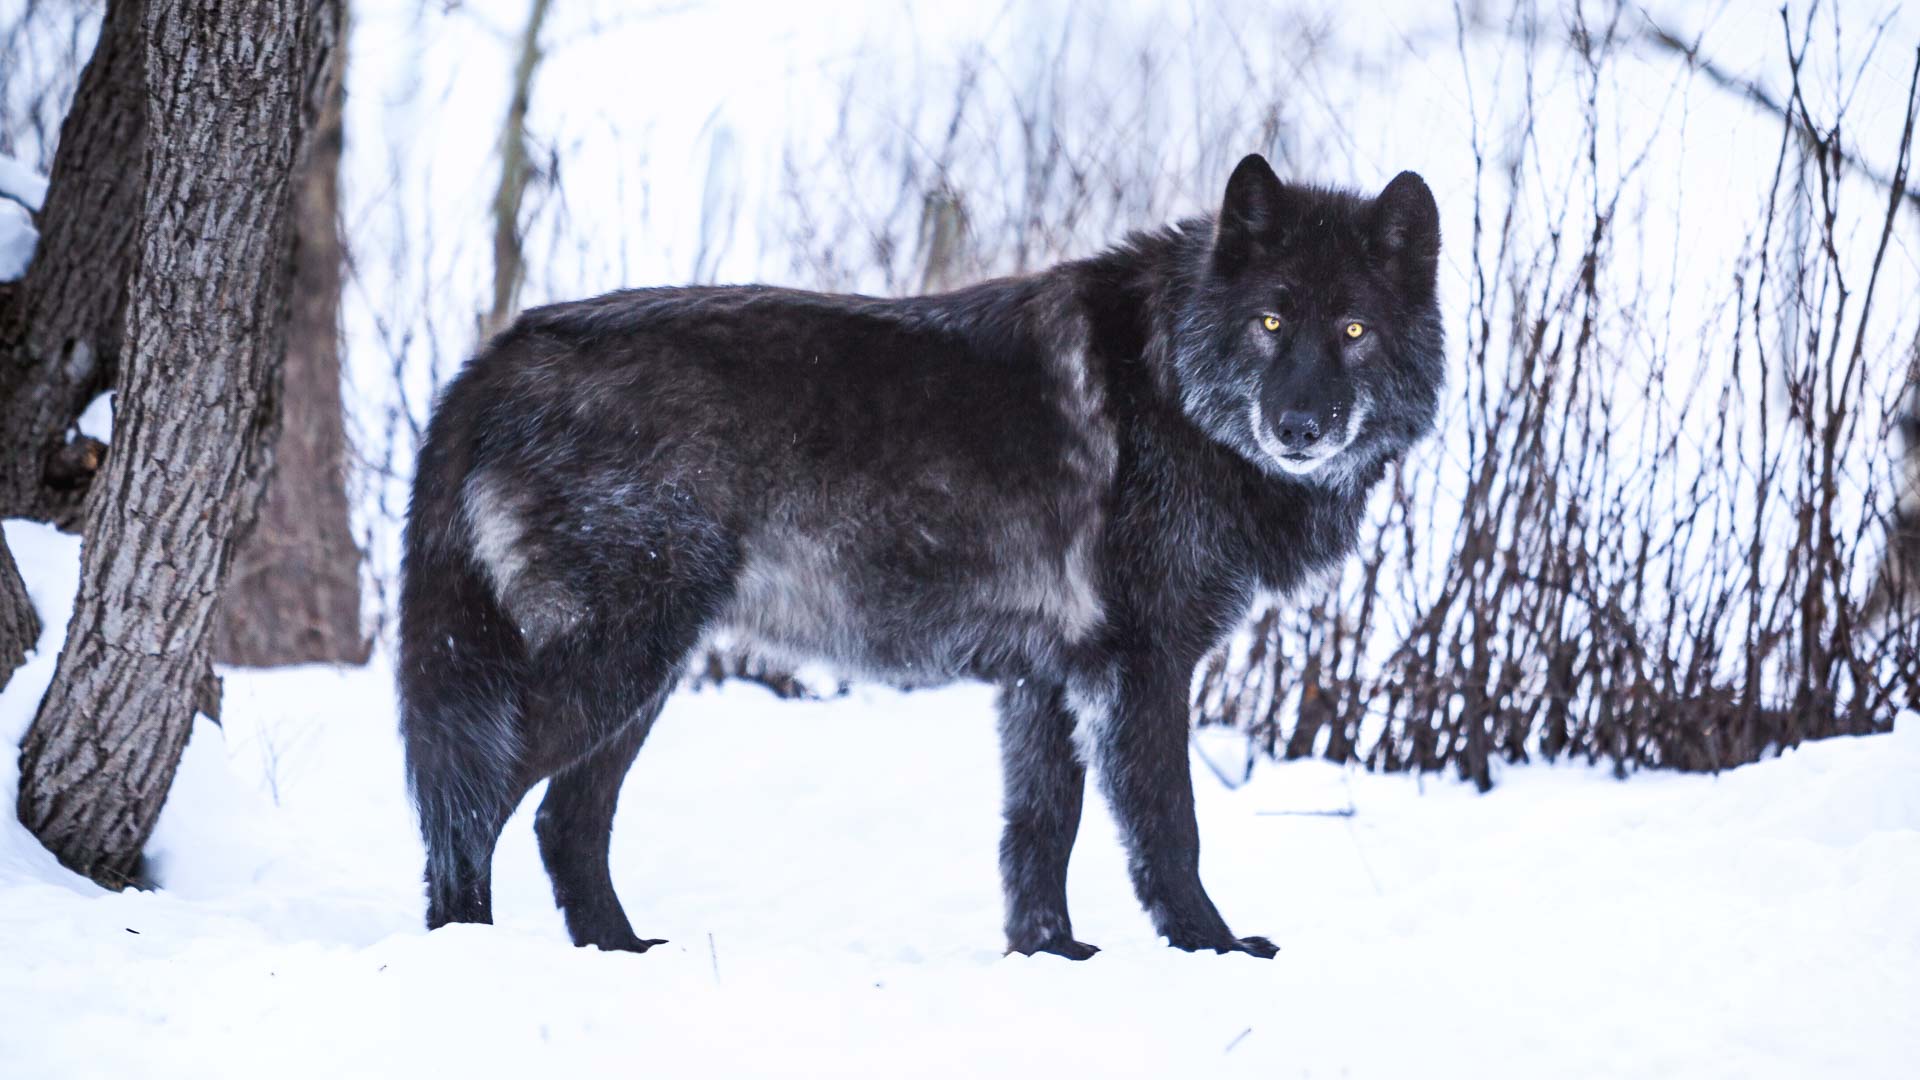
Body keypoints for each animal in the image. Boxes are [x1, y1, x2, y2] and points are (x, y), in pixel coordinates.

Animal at [397, 151, 1436, 949]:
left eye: (1353, 330)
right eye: (1271, 322)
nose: (1300, 428)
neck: (1172, 385)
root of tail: (499, 356)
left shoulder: (1045, 679)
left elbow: (1039, 834)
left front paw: (1051, 957)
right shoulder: (1139, 670)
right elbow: (1169, 832)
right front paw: (1211, 950)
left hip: (643, 675)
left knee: (562, 822)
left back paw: (618, 951)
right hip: (617, 664)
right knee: (478, 800)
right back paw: (464, 955)